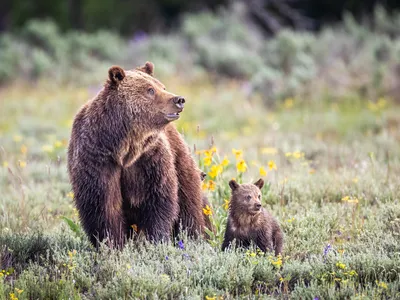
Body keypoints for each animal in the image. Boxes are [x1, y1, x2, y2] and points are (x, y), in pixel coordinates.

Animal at [67, 62, 206, 247]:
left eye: (162, 86)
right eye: (150, 90)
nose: (179, 100)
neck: (122, 148)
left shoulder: (148, 158)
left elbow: (158, 199)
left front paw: (156, 239)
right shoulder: (97, 159)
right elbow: (103, 206)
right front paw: (112, 244)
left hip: (180, 158)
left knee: (188, 202)